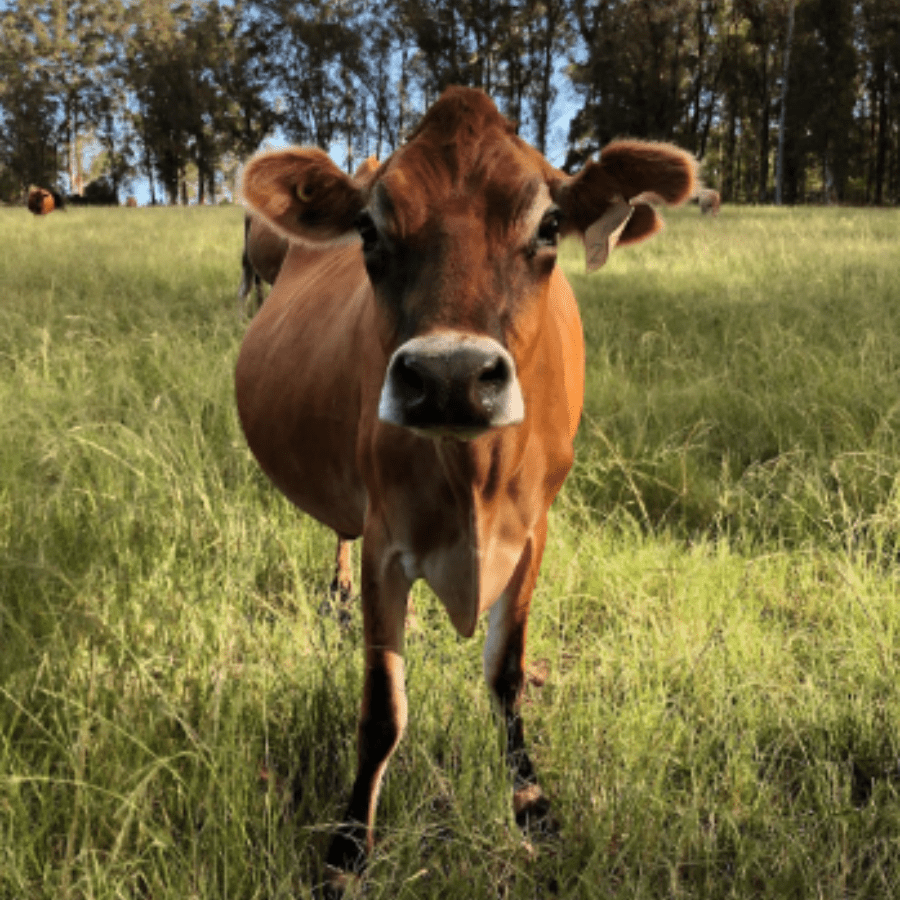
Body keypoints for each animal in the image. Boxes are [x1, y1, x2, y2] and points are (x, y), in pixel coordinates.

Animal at [236, 86, 697, 891]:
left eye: (549, 224)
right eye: (368, 226)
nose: (449, 377)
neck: (473, 479)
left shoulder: (535, 533)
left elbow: (506, 675)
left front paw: (531, 801)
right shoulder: (385, 544)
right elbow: (383, 708)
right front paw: (349, 848)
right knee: (338, 537)